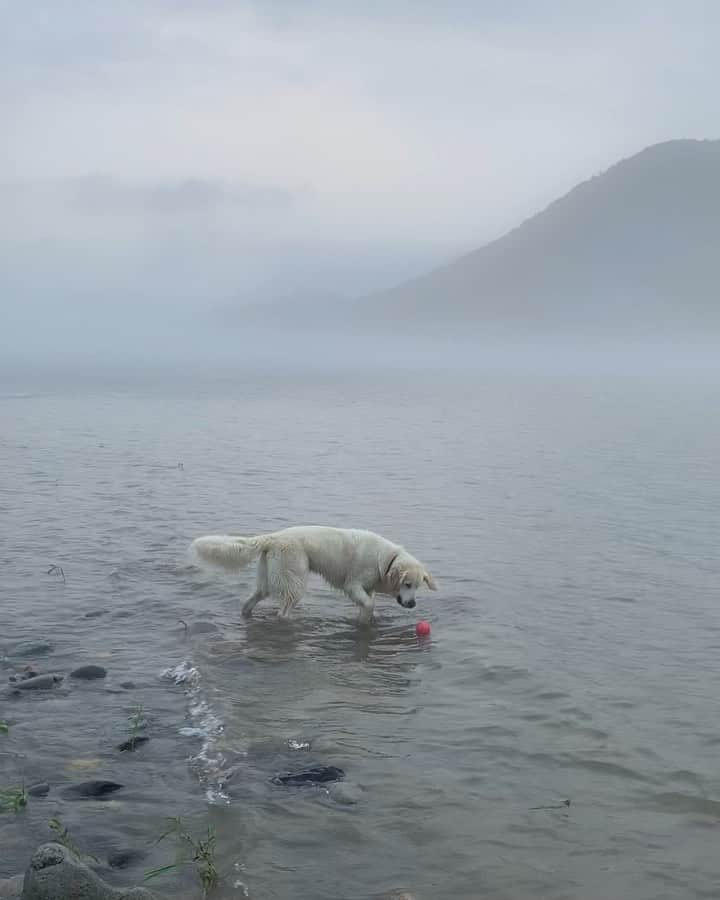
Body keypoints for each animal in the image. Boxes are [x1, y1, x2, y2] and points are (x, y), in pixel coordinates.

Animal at [191, 524, 436, 624]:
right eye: (407, 584)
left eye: (417, 586)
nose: (412, 604)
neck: (385, 561)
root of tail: (273, 537)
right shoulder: (353, 585)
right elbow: (368, 604)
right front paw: (364, 620)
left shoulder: (367, 588)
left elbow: (368, 604)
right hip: (295, 580)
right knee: (283, 612)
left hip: (268, 581)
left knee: (249, 601)